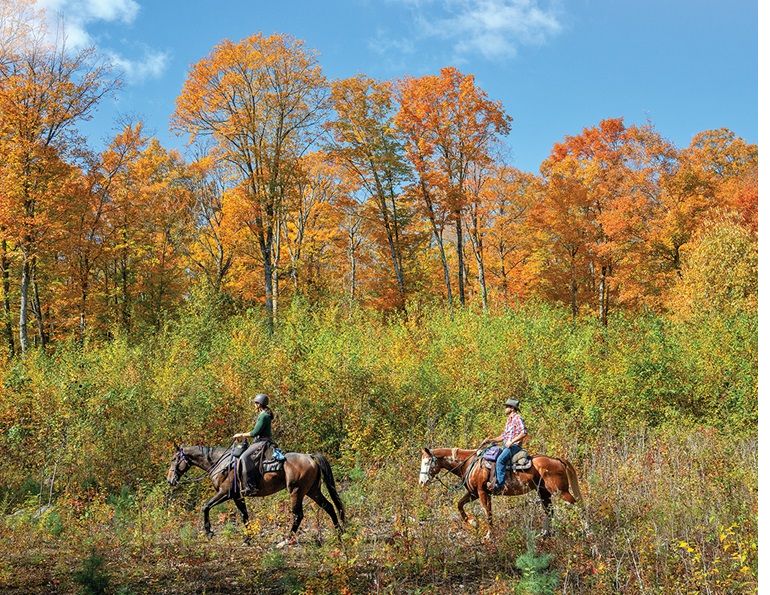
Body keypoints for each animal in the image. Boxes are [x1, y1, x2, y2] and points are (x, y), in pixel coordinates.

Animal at [166, 443, 345, 544]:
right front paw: (248, 538)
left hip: (297, 491)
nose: (170, 480)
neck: (222, 464)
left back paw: (287, 539)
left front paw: (209, 532)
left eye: (174, 459)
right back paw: (340, 533)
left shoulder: (225, 494)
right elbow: (245, 516)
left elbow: (205, 507)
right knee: (330, 507)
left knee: (298, 515)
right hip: (312, 491)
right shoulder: (238, 497)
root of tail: (310, 456)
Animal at [419, 447, 583, 539]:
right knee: (549, 511)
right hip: (543, 492)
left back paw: (585, 531)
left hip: (560, 491)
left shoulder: (482, 493)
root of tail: (557, 460)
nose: (421, 482)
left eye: (427, 462)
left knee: (578, 506)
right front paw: (473, 522)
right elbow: (459, 505)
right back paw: (545, 533)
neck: (470, 464)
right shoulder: (473, 493)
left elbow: (488, 513)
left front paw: (489, 535)